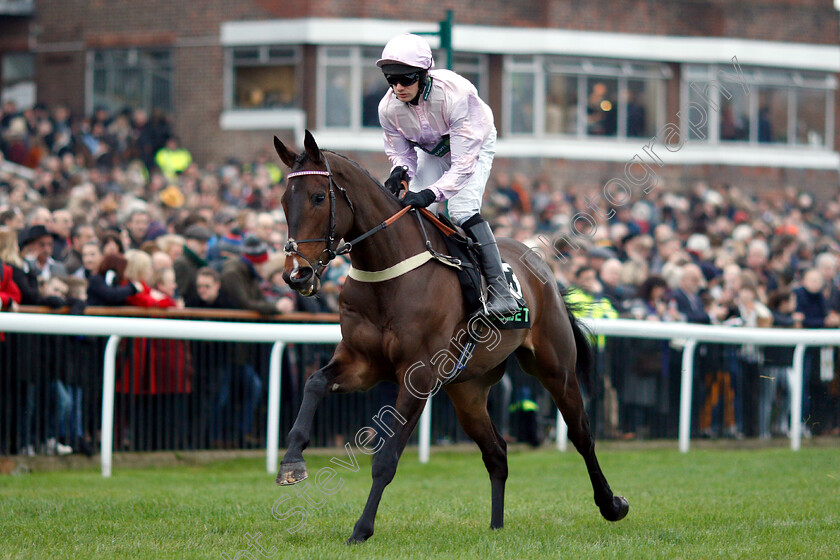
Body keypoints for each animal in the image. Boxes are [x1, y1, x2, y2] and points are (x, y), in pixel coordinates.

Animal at [272, 130, 628, 544]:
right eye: (284, 201)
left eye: (318, 197)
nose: (296, 274)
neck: (388, 273)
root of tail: (542, 268)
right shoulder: (361, 364)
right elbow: (313, 382)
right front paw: (292, 462)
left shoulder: (419, 375)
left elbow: (386, 460)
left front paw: (361, 529)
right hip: (468, 389)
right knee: (497, 452)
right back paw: (496, 526)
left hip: (557, 369)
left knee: (582, 435)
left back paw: (611, 504)